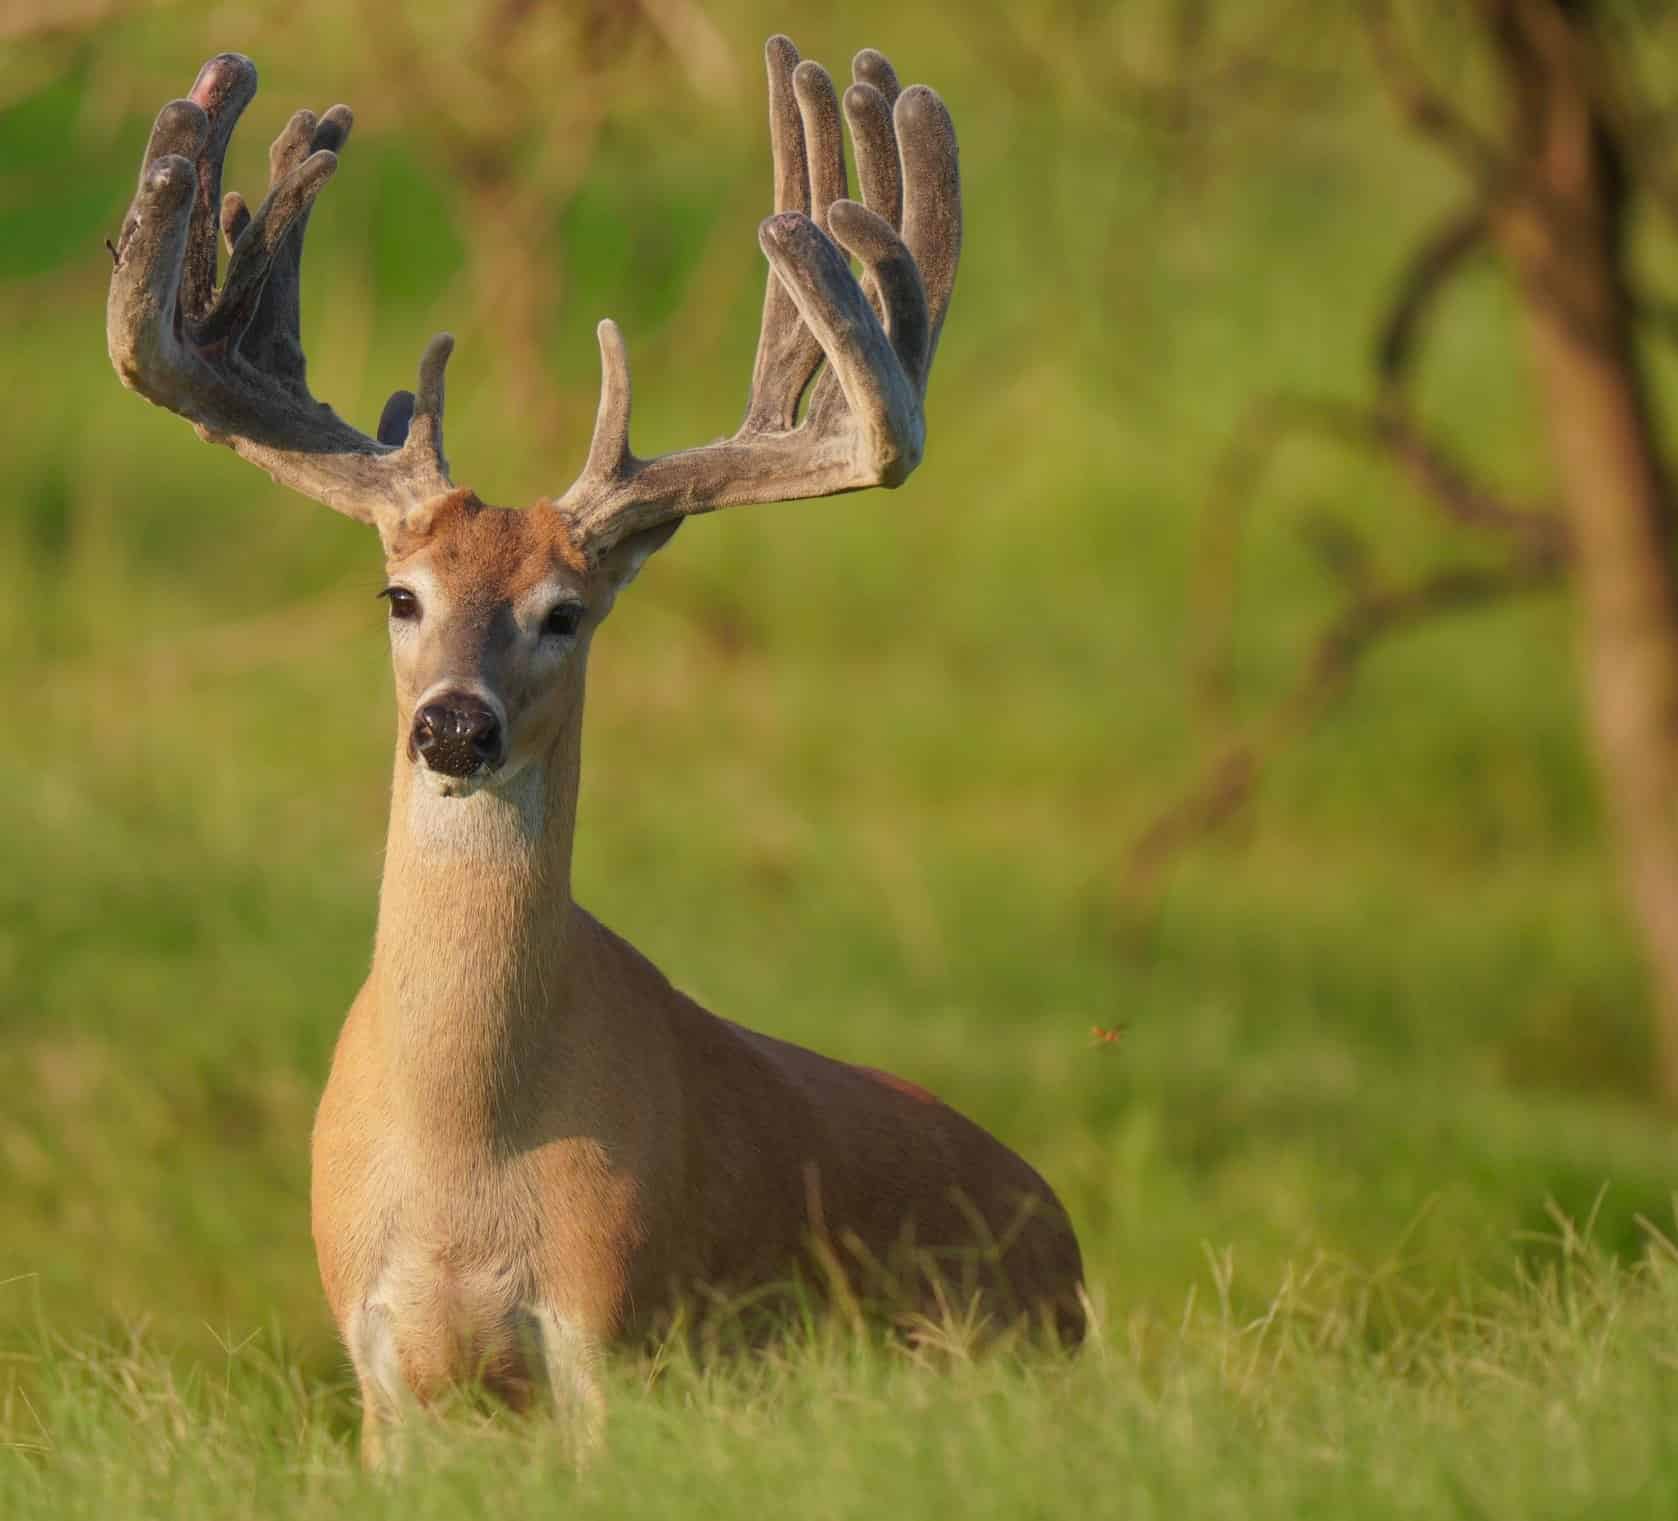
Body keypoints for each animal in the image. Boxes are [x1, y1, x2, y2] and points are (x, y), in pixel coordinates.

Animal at [107, 36, 1085, 1463]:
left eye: (564, 613)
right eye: (399, 596)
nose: (453, 723)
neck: (466, 1160)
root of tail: (1066, 1239)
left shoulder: (618, 1328)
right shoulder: (378, 1366)